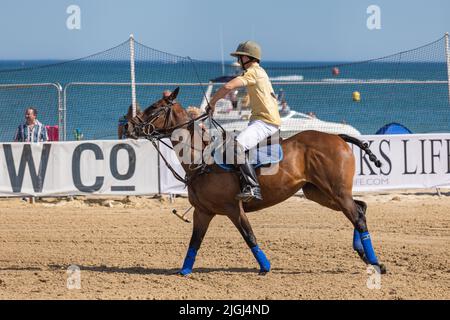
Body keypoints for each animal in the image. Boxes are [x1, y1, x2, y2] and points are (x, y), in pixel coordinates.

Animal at [125, 89, 386, 276]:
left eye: (154, 108)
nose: (129, 125)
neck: (202, 161)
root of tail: (338, 137)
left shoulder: (233, 208)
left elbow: (249, 236)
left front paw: (265, 267)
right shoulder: (203, 212)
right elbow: (194, 242)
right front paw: (184, 271)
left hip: (336, 191)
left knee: (357, 216)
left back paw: (375, 263)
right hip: (319, 193)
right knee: (360, 207)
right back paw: (364, 255)